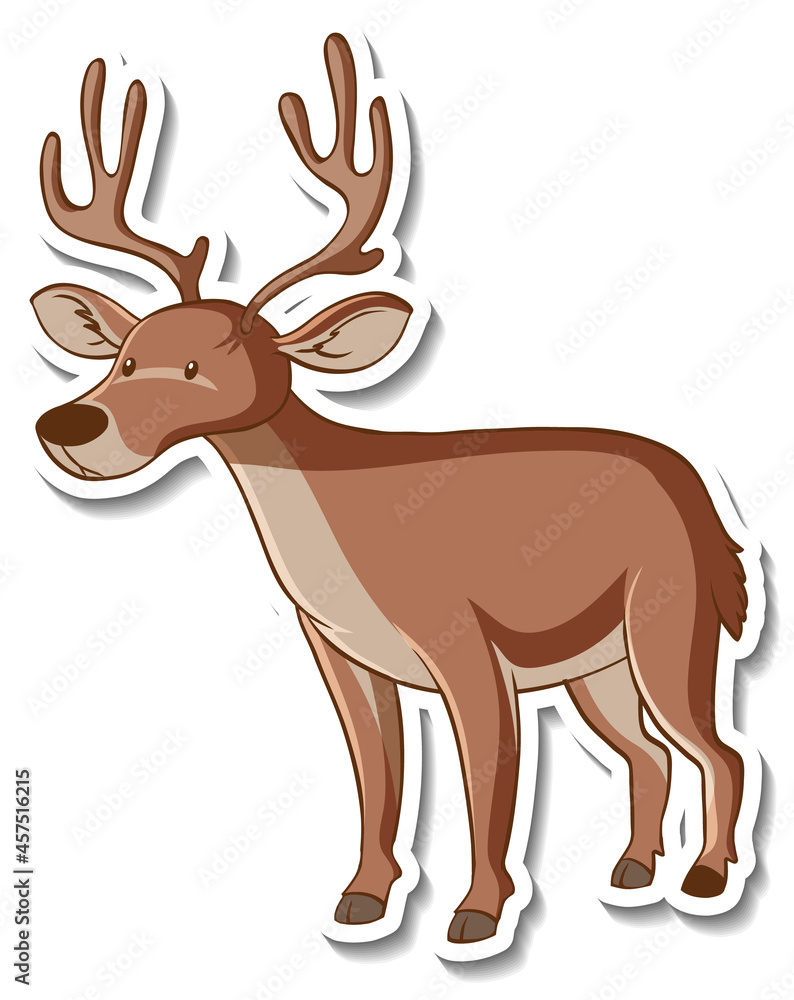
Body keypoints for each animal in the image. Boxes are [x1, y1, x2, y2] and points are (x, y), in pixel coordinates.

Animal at [32, 33, 759, 949]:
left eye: (200, 366)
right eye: (126, 357)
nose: (68, 425)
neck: (346, 527)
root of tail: (705, 496)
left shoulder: (463, 636)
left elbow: (489, 779)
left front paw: (477, 914)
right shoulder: (338, 650)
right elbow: (379, 777)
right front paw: (364, 899)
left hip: (671, 611)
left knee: (719, 749)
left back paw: (704, 878)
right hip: (600, 662)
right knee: (650, 753)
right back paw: (632, 872)